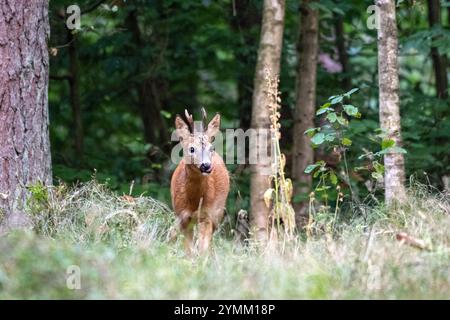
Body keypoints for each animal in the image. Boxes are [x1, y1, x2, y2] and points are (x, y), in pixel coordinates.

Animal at [171, 109, 230, 254]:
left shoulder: (207, 215)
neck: (194, 202)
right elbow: (189, 251)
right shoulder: (183, 216)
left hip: (218, 213)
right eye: (191, 148)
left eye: (211, 148)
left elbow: (203, 249)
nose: (206, 166)